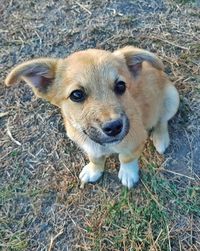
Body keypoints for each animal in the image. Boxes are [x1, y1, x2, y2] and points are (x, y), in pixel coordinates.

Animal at [5, 47, 180, 188]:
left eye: (121, 86)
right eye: (76, 95)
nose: (114, 127)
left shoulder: (135, 140)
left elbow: (126, 158)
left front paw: (128, 173)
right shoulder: (90, 147)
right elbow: (95, 159)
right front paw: (94, 170)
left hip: (172, 99)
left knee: (162, 120)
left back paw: (160, 138)